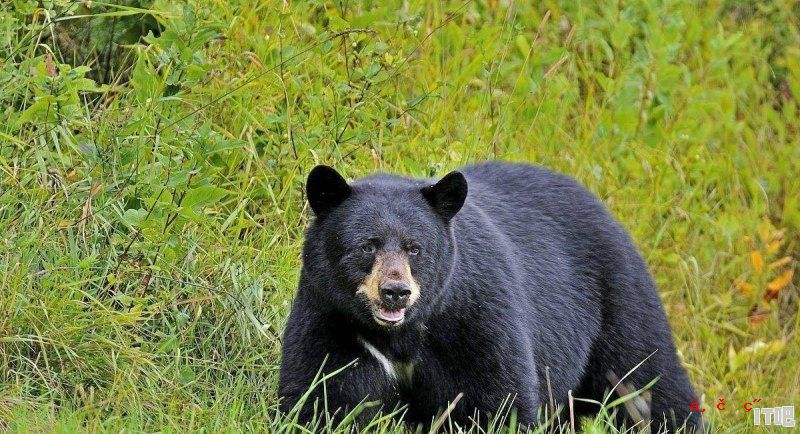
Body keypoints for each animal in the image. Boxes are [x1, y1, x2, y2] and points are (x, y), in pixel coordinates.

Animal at [278, 162, 704, 430]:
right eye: (368, 245)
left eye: (415, 248)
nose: (396, 292)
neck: (401, 334)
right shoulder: (332, 317)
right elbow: (323, 392)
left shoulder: (475, 317)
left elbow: (495, 400)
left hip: (618, 300)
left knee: (646, 380)